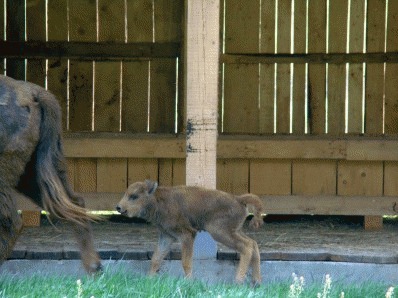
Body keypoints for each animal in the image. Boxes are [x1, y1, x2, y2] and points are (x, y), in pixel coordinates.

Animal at [116, 179, 264, 284]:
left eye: (134, 196)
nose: (118, 207)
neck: (159, 200)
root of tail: (238, 199)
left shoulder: (187, 235)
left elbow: (186, 261)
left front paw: (188, 282)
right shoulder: (167, 236)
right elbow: (156, 258)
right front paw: (148, 279)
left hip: (220, 232)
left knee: (246, 246)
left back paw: (238, 281)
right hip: (235, 231)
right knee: (253, 243)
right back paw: (256, 282)